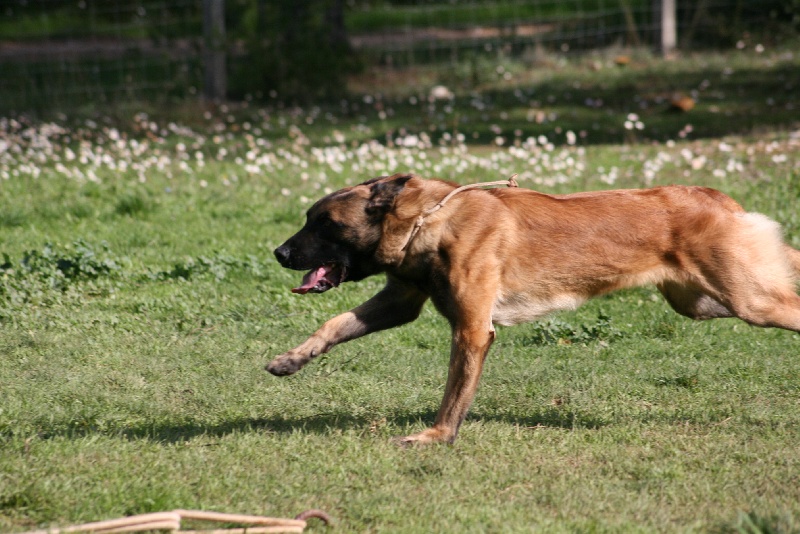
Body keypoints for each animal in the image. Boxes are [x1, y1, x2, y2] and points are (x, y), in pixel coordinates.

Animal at [268, 174, 800, 446]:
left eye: (325, 224)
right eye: (308, 219)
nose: (279, 253)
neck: (429, 220)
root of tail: (720, 200)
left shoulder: (472, 330)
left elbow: (454, 393)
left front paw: (438, 437)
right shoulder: (399, 300)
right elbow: (335, 323)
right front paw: (291, 359)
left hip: (751, 300)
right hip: (701, 302)